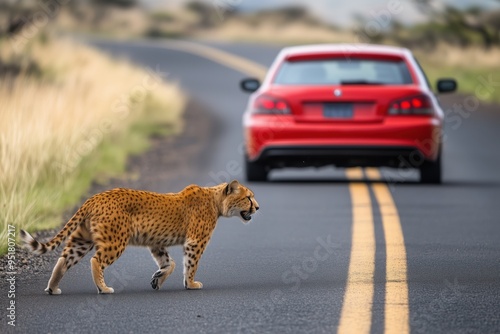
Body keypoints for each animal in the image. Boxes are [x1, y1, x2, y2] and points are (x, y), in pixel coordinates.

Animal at [21, 180, 260, 294]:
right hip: (115, 240)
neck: (216, 200)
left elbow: (169, 263)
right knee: (96, 260)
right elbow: (190, 264)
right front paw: (191, 284)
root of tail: (95, 197)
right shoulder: (195, 242)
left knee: (64, 260)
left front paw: (158, 278)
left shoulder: (156, 243)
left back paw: (53, 288)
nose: (258, 207)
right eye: (248, 197)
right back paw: (103, 288)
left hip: (82, 239)